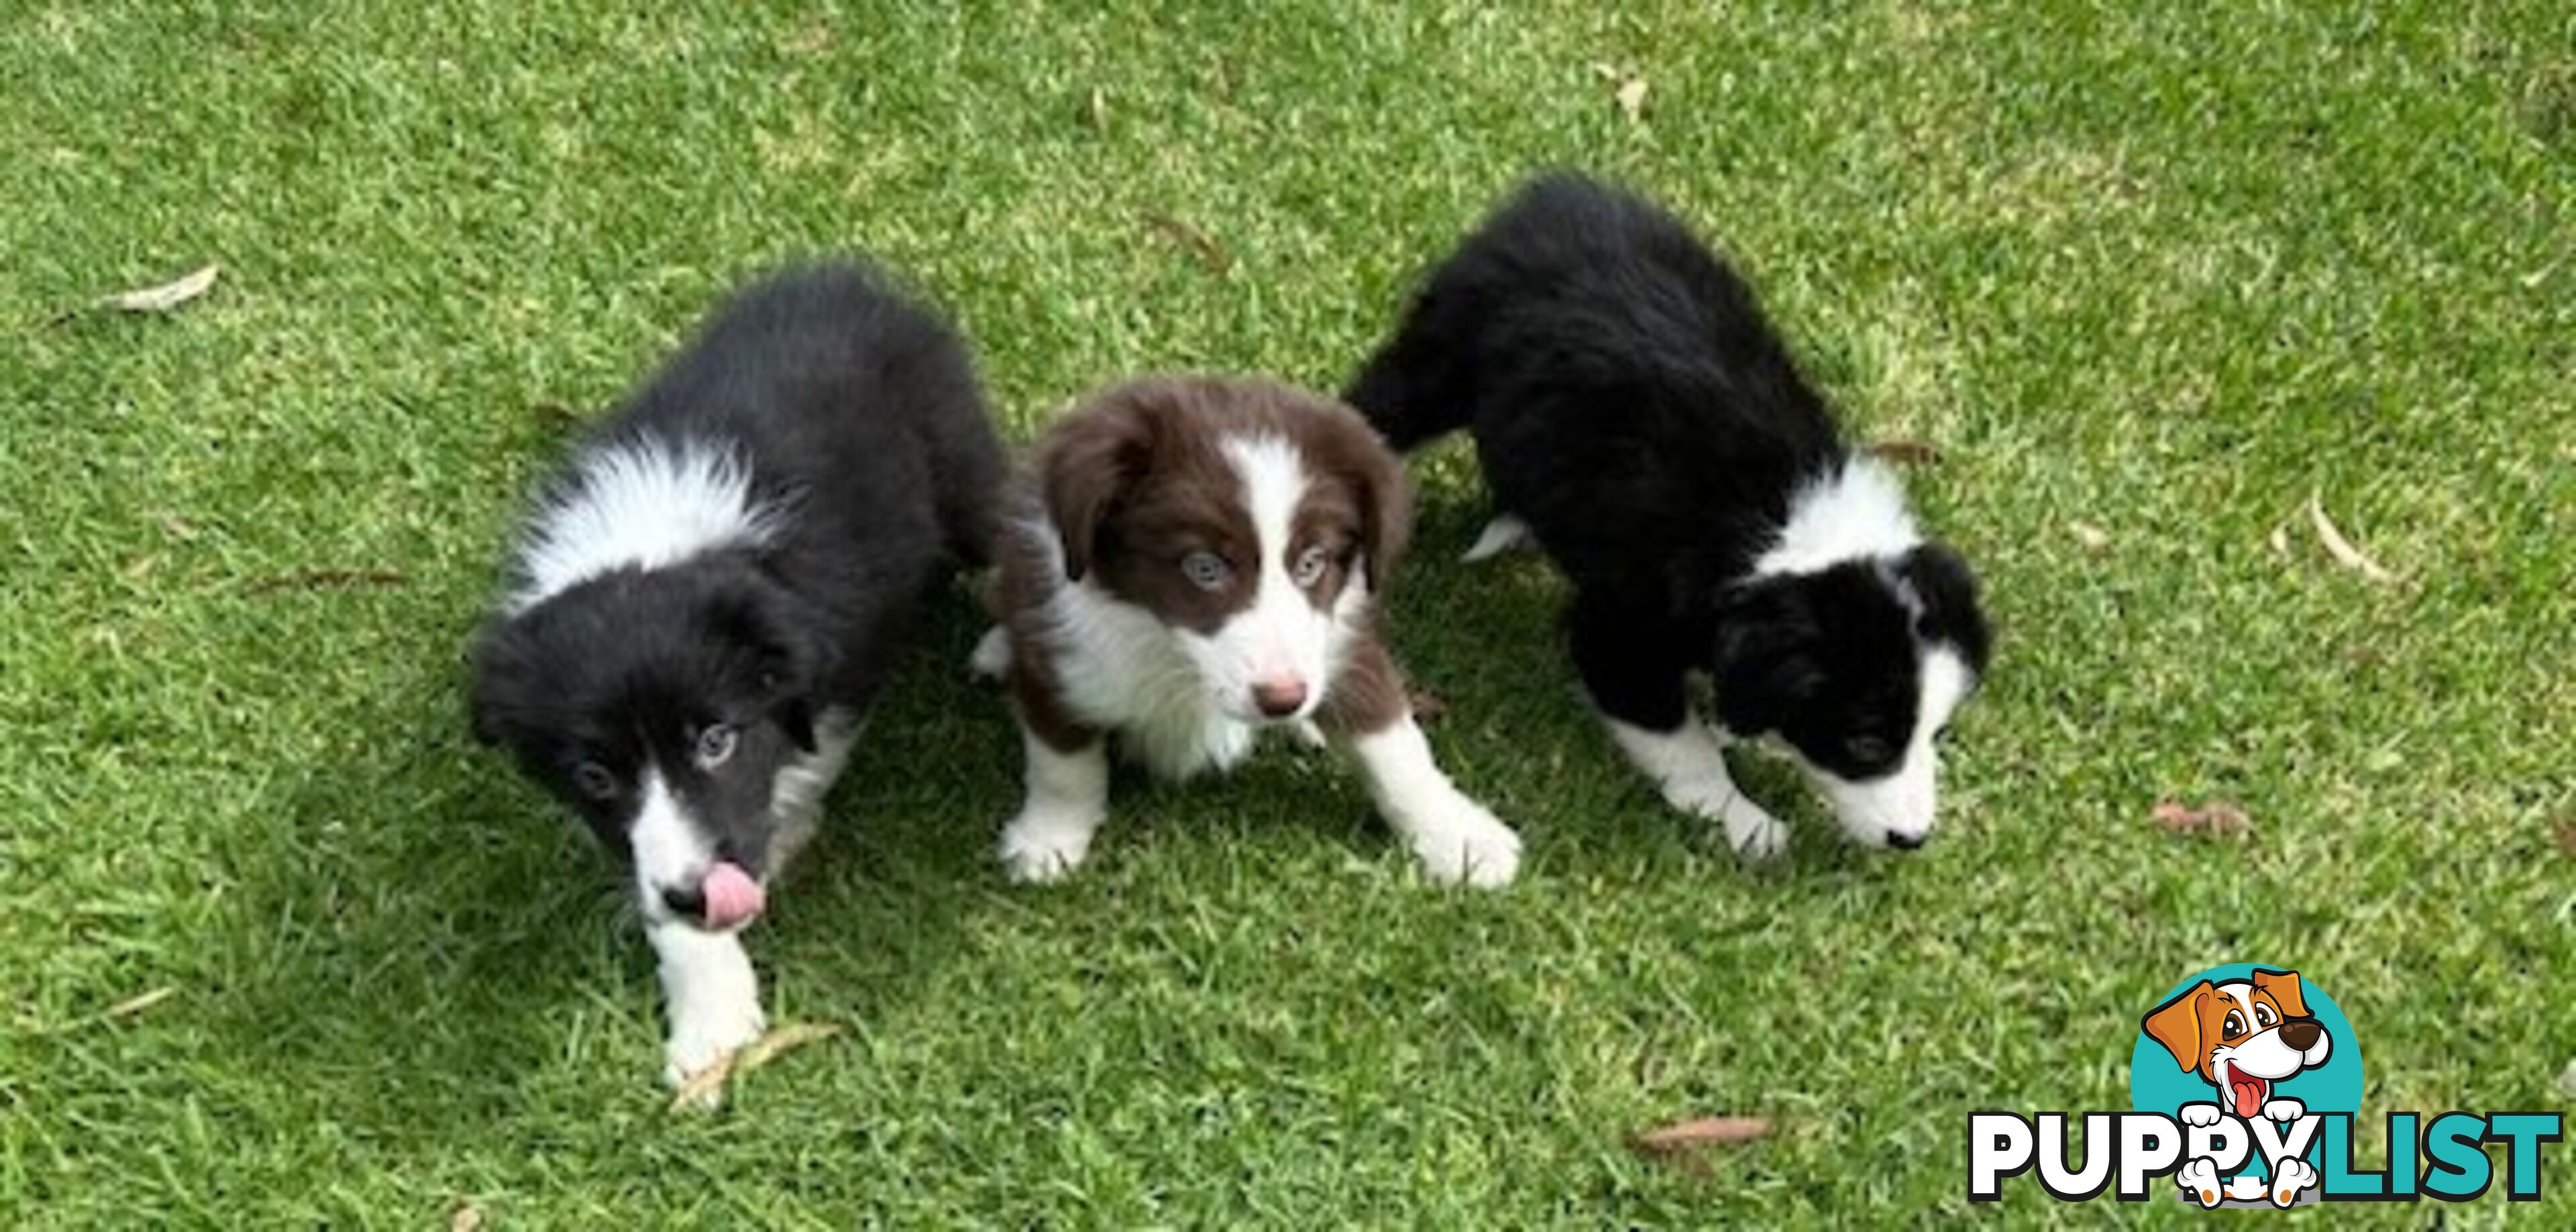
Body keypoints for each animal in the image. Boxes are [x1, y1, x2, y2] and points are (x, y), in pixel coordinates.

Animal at [468, 264, 999, 1093]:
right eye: (594, 775)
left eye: (717, 740)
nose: (698, 893)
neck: (652, 545)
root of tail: (843, 274)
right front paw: (712, 1024)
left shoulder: (828, 661)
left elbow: (802, 759)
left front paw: (782, 836)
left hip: (961, 455)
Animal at [973, 376, 1514, 887]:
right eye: (1204, 568)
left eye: (1312, 562)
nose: (1284, 699)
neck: (1172, 649)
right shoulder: (1055, 651)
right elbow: (1062, 764)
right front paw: (1048, 838)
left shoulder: (1341, 643)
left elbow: (1395, 746)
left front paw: (1462, 839)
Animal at [1350, 175, 1988, 855]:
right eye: (1866, 742)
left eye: (1936, 733)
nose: (1912, 838)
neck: (1774, 525)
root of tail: (1552, 193)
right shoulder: (1623, 623)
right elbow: (1683, 743)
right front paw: (1745, 823)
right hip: (1440, 359)